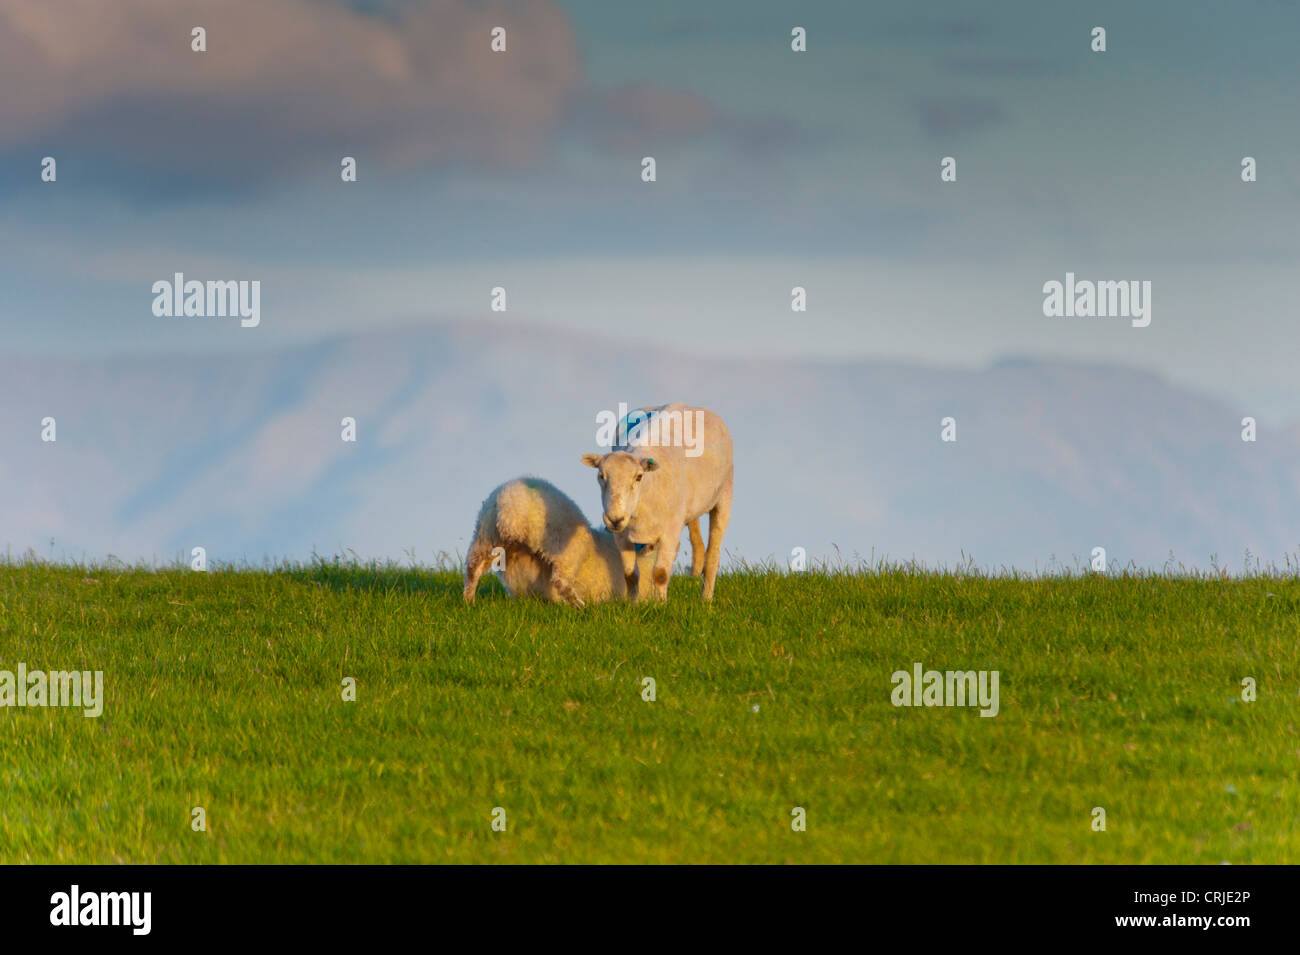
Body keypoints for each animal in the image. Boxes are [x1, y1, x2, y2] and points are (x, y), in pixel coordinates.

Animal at [463, 476, 646, 606]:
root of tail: (510, 506)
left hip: (486, 536)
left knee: (473, 568)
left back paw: (469, 601)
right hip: (565, 547)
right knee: (560, 581)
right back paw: (578, 605)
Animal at [581, 403, 733, 601]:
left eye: (639, 477)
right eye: (601, 476)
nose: (614, 519)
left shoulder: (670, 532)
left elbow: (660, 574)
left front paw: (660, 603)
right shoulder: (622, 536)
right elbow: (630, 575)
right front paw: (633, 603)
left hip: (724, 495)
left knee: (713, 554)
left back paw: (706, 599)